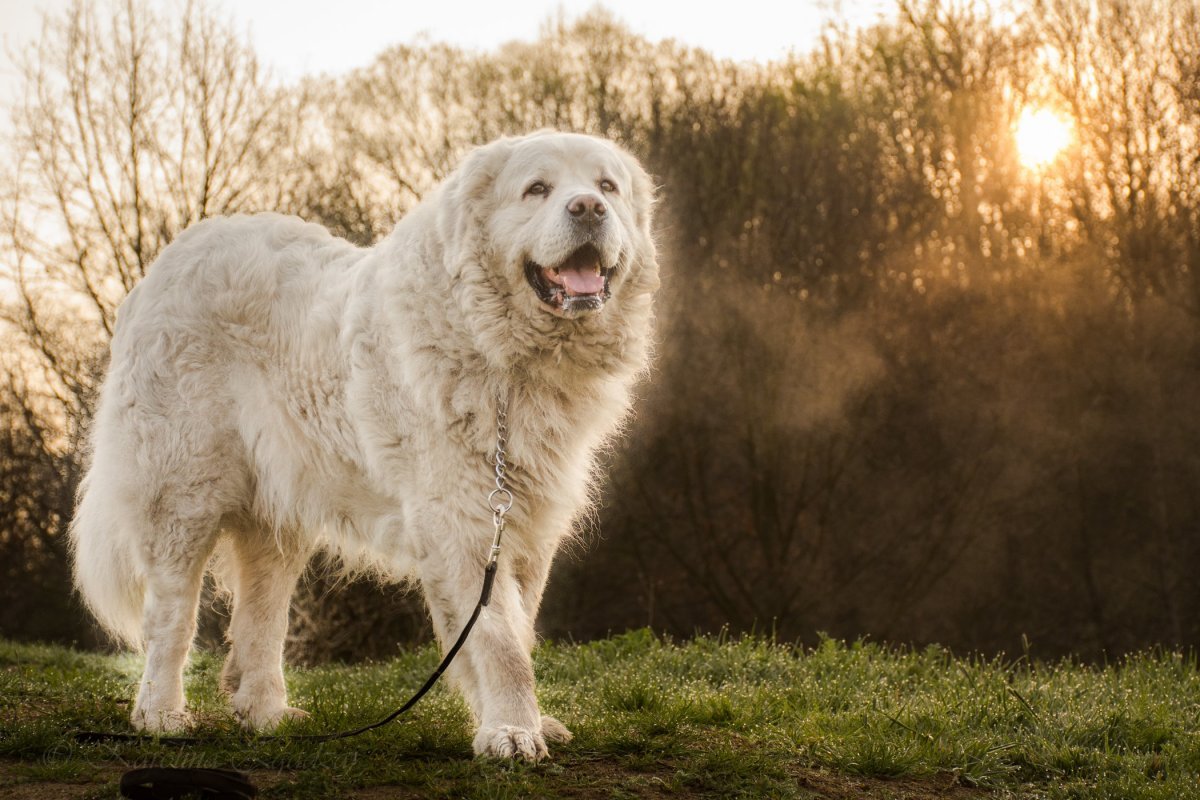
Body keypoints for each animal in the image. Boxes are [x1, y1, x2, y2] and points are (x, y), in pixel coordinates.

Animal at [70, 128, 662, 762]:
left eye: (607, 186)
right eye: (537, 189)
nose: (589, 208)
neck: (502, 354)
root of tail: (167, 261)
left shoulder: (524, 524)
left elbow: (512, 627)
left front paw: (512, 721)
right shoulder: (464, 518)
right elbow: (500, 639)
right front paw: (510, 731)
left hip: (277, 515)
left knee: (261, 615)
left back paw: (266, 713)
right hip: (184, 496)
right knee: (171, 616)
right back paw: (160, 713)